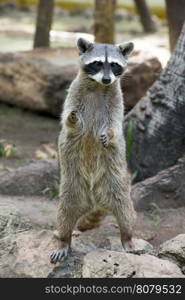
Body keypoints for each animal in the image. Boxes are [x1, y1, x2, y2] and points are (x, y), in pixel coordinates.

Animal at [50, 37, 136, 262]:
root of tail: (95, 200)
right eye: (97, 63)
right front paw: (72, 120)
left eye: (114, 65)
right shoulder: (74, 93)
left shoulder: (117, 98)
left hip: (115, 184)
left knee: (125, 210)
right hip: (72, 188)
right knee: (65, 213)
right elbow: (67, 118)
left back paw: (127, 237)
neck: (98, 86)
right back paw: (63, 239)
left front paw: (110, 133)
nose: (107, 79)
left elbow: (115, 123)